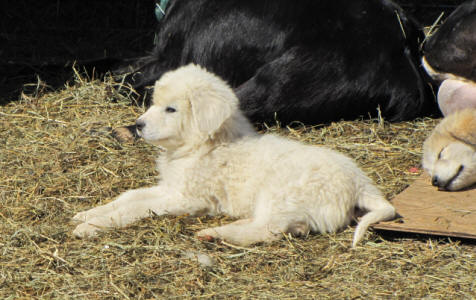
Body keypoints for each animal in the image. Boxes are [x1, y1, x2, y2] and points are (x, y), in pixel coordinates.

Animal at [72, 62, 396, 246]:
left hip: (281, 193)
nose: (138, 126)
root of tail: (360, 184)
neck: (203, 145)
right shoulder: (171, 187)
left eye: (171, 109)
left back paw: (218, 234)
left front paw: (90, 227)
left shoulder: (188, 198)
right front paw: (88, 213)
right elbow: (130, 196)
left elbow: (136, 207)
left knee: (269, 230)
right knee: (288, 227)